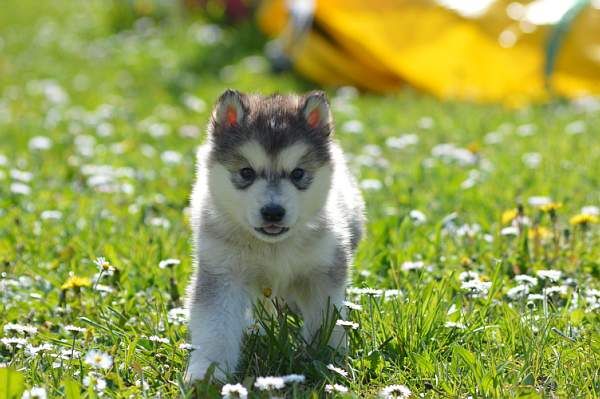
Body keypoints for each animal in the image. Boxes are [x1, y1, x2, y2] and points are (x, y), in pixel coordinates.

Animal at [185, 90, 366, 382]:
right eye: (246, 172)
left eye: (298, 173)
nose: (273, 212)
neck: (273, 247)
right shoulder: (222, 273)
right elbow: (215, 326)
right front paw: (208, 371)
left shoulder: (323, 271)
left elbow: (325, 317)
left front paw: (328, 358)